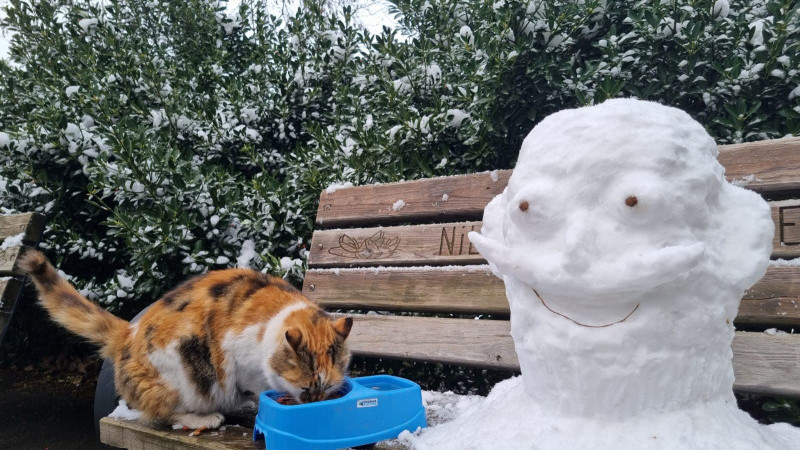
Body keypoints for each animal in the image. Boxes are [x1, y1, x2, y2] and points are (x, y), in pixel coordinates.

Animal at [20, 250, 352, 428]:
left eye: (327, 388)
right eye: (306, 388)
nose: (315, 405)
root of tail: (128, 332)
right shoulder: (240, 362)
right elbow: (256, 390)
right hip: (181, 369)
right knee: (160, 413)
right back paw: (205, 419)